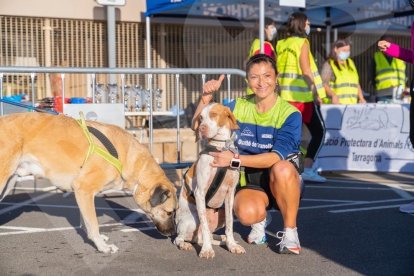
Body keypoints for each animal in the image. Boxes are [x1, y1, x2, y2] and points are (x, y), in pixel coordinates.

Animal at [0, 111, 176, 252]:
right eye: (169, 212)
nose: (174, 233)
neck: (127, 157)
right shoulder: (84, 189)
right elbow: (94, 223)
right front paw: (102, 246)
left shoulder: (83, 194)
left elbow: (86, 221)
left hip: (8, 183)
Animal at [173, 102, 244, 258]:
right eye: (200, 118)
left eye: (213, 114)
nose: (201, 128)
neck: (220, 148)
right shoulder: (200, 192)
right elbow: (204, 225)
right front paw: (206, 250)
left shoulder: (230, 193)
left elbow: (230, 223)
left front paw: (232, 245)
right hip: (192, 220)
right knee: (179, 238)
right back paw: (185, 244)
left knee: (209, 236)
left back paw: (222, 239)